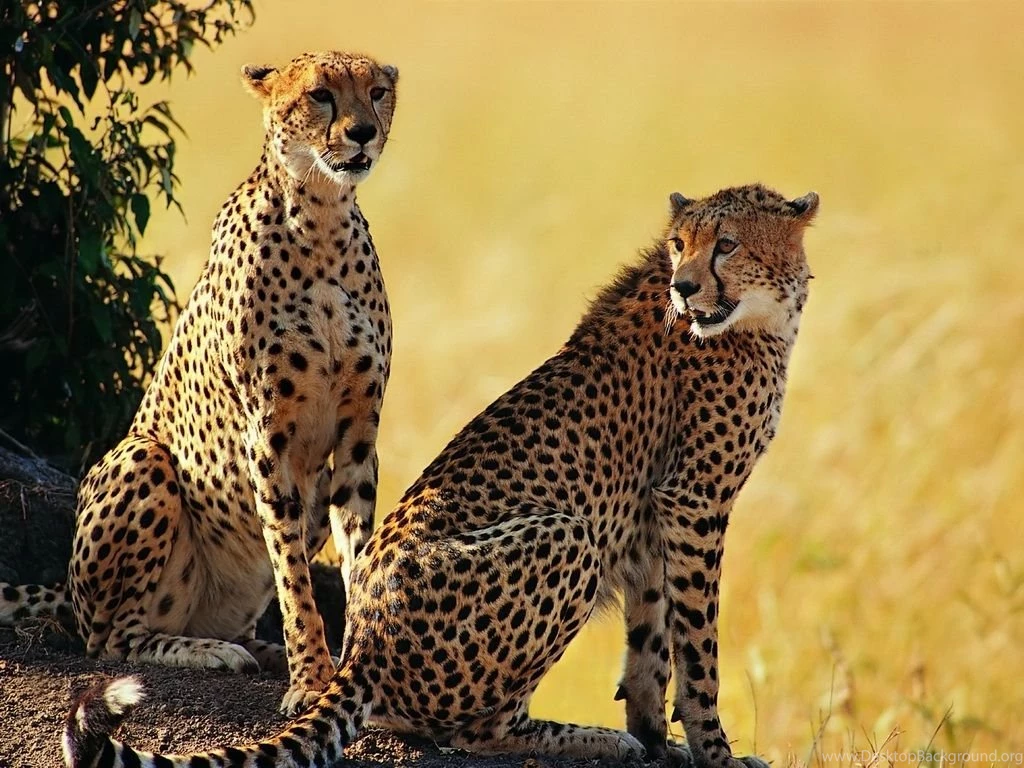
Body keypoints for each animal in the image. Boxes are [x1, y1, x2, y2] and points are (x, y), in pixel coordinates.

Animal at [1, 50, 399, 717]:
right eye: (320, 94)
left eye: (376, 91)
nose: (363, 132)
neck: (321, 215)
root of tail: (69, 595)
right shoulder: (267, 436)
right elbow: (293, 572)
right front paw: (312, 679)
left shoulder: (356, 434)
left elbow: (356, 556)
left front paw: (347, 668)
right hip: (142, 459)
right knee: (111, 641)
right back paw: (212, 651)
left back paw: (260, 651)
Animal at [61, 183, 818, 768]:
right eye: (679, 245)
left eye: (726, 244)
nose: (684, 287)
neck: (755, 316)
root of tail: (361, 646)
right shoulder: (694, 501)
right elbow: (698, 652)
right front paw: (712, 751)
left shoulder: (658, 514)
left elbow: (651, 642)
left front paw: (663, 740)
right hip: (568, 536)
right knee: (469, 730)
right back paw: (585, 738)